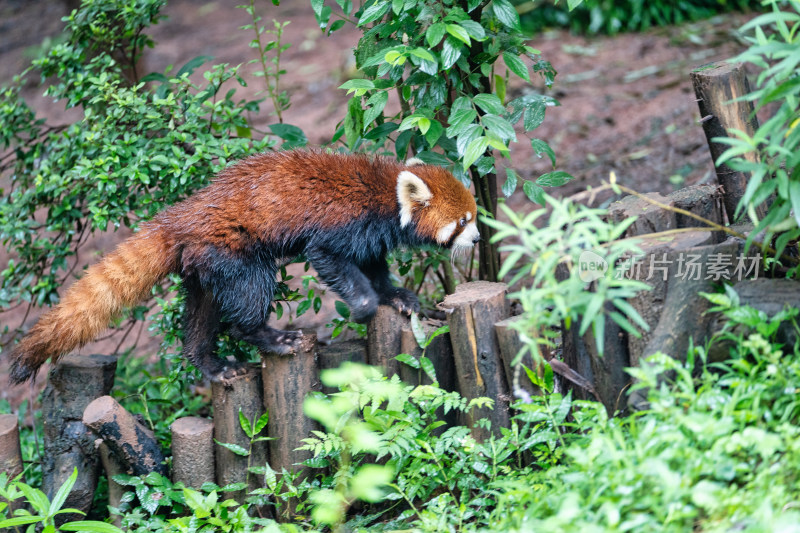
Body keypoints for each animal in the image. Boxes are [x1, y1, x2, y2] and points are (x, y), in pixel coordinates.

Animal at [9, 150, 478, 382]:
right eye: (462, 222)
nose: (476, 239)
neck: (386, 195)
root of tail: (180, 217)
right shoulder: (341, 225)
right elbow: (329, 259)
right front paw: (364, 307)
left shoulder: (371, 239)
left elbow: (376, 270)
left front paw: (399, 297)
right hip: (235, 252)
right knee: (248, 300)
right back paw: (271, 338)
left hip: (203, 266)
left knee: (201, 315)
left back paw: (211, 365)